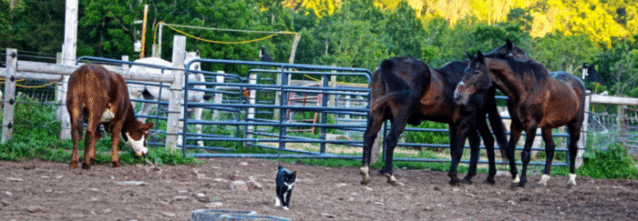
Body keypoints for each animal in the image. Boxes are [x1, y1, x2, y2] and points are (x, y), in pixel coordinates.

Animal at [362, 40, 532, 186]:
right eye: (520, 53)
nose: (532, 66)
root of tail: (388, 63)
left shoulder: (456, 123)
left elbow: (454, 149)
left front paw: (454, 175)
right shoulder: (464, 121)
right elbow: (458, 150)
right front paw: (454, 177)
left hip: (378, 114)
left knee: (369, 136)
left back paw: (365, 173)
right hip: (402, 116)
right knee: (391, 140)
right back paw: (390, 175)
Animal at [452, 51, 588, 188]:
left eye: (477, 72)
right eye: (466, 70)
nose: (457, 95)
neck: (525, 90)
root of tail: (579, 84)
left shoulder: (531, 126)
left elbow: (525, 154)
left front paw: (522, 181)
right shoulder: (516, 124)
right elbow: (510, 150)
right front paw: (515, 177)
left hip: (575, 124)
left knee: (573, 149)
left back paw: (571, 179)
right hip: (547, 127)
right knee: (550, 148)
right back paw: (544, 178)